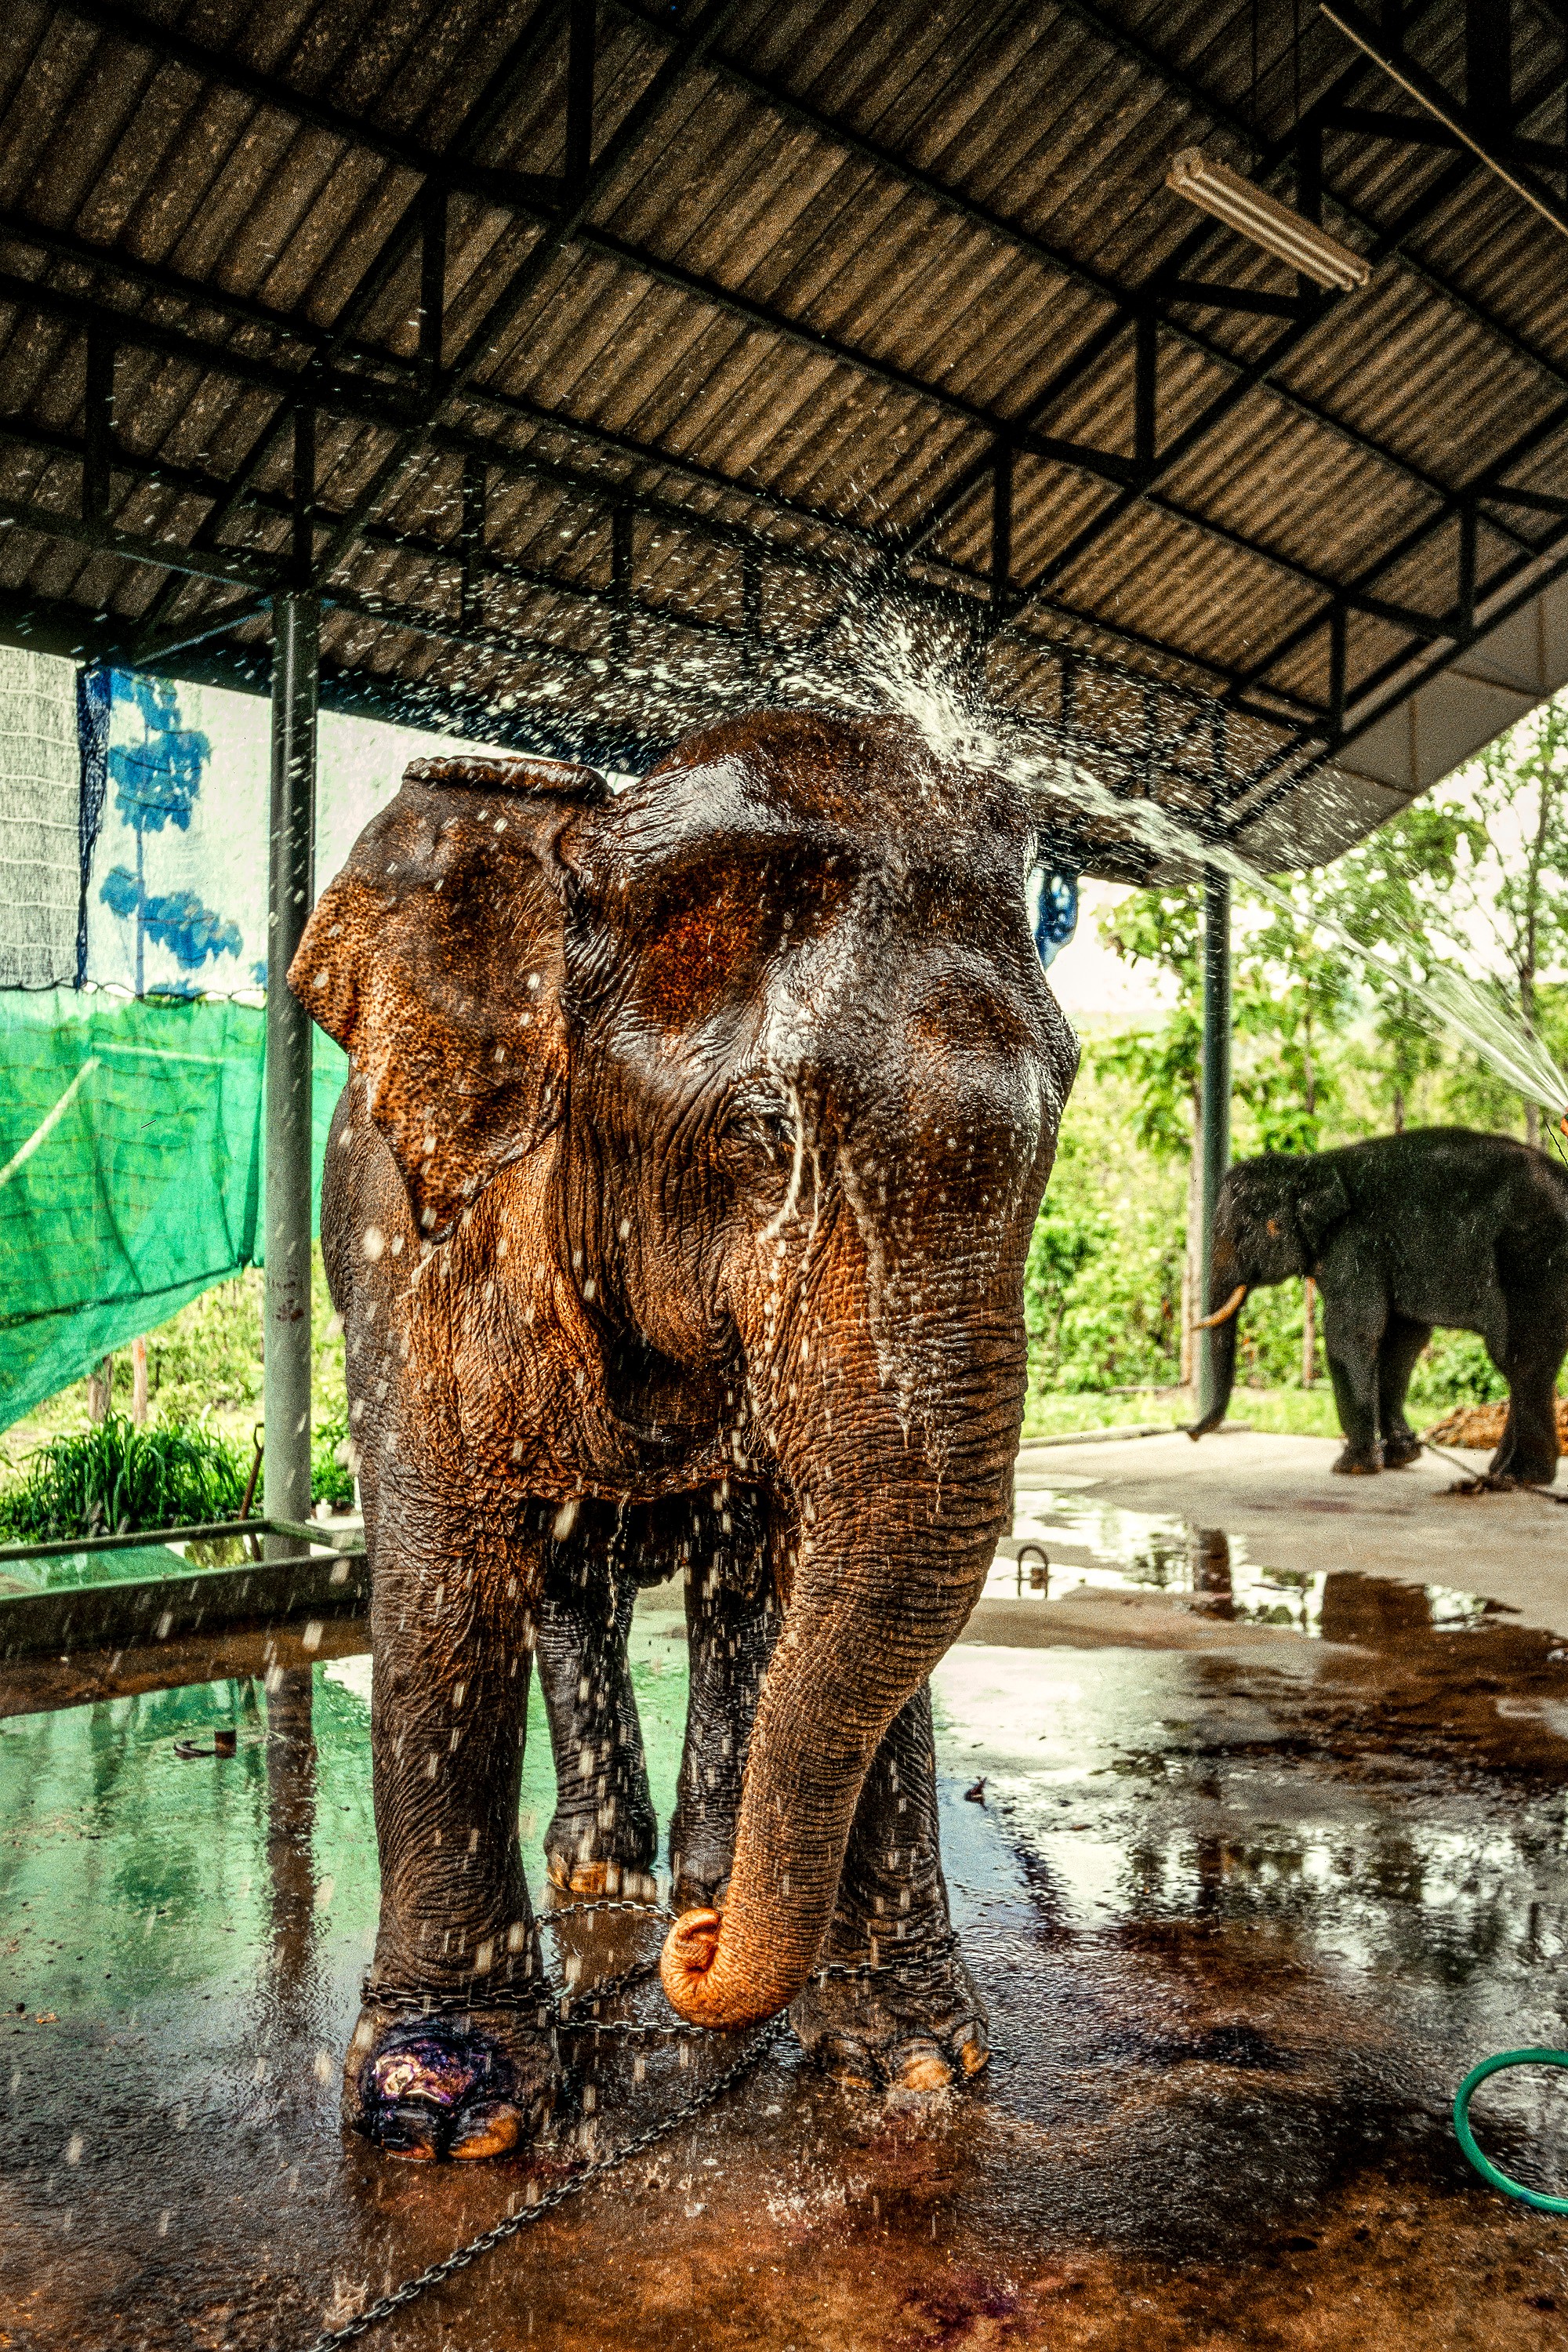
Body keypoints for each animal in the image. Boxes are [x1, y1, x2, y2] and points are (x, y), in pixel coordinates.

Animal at [290, 711, 1077, 2159]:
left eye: (1057, 1126)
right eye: (764, 1139)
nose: (695, 1956)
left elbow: (827, 1556)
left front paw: (913, 2065)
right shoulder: (408, 1240)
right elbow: (441, 1575)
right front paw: (441, 2109)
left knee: (732, 1586)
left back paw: (691, 1869)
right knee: (559, 1583)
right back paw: (610, 1874)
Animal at [1188, 1128, 1568, 1483]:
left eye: (1241, 1233)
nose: (1190, 1433)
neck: (1311, 1166)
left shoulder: (1354, 1245)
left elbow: (1351, 1335)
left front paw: (1351, 1468)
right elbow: (1403, 1340)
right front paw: (1402, 1457)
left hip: (1533, 1260)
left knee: (1518, 1357)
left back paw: (1522, 1477)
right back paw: (1501, 1473)